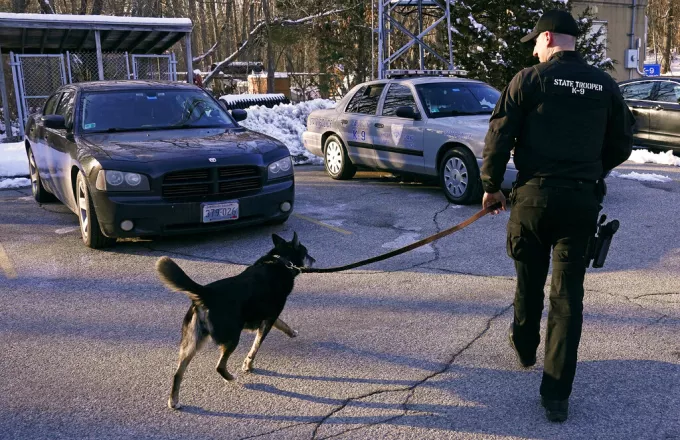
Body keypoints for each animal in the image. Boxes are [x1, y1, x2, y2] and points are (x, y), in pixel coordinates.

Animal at [155, 234, 314, 410]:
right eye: (306, 251)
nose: (314, 260)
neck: (281, 260)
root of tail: (206, 293)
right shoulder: (268, 319)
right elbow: (255, 347)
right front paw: (248, 365)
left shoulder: (269, 316)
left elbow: (282, 324)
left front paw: (291, 332)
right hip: (232, 338)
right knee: (220, 366)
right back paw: (230, 378)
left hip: (192, 342)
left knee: (178, 373)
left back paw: (174, 400)